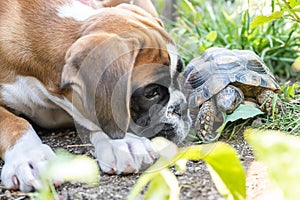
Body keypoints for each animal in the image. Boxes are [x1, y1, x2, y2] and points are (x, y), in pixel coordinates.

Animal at [0, 0, 191, 191]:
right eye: (151, 93)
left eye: (179, 72)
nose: (181, 107)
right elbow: (13, 122)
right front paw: (30, 156)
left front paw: (121, 143)